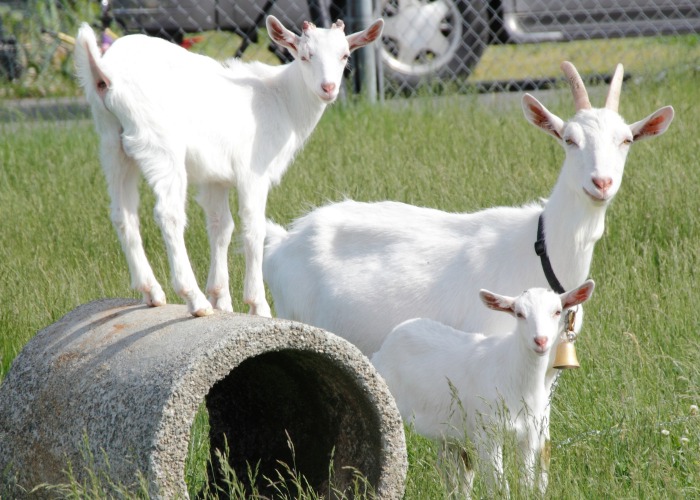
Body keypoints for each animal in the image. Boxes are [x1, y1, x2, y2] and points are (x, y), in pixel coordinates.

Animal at [74, 17, 386, 318]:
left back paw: (152, 292)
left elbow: (221, 226)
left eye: (345, 55)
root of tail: (106, 74)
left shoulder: (216, 177)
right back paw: (194, 299)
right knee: (168, 214)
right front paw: (257, 305)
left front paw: (222, 299)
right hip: (160, 144)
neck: (281, 99)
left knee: (123, 214)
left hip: (113, 143)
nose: (328, 88)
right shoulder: (253, 172)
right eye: (305, 55)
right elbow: (252, 227)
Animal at [374, 280, 592, 494]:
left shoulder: (529, 436)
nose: (540, 341)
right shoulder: (487, 433)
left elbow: (526, 483)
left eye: (557, 311)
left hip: (450, 430)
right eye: (519, 314)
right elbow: (499, 487)